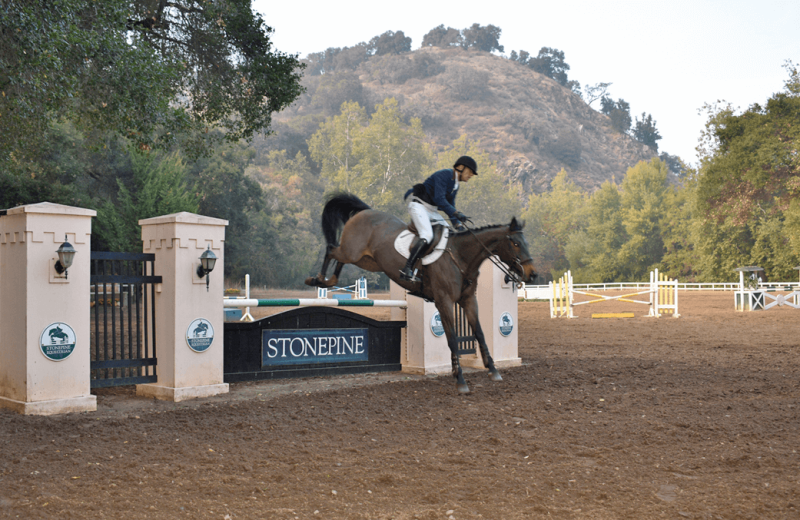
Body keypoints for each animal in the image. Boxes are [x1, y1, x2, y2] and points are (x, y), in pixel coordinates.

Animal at [306, 194, 536, 394]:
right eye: (516, 243)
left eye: (526, 243)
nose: (532, 274)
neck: (460, 257)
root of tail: (365, 212)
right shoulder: (444, 302)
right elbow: (452, 339)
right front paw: (460, 379)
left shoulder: (469, 300)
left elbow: (479, 333)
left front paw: (493, 370)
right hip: (352, 251)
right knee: (331, 249)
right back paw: (317, 279)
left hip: (366, 260)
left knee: (339, 259)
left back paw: (328, 281)